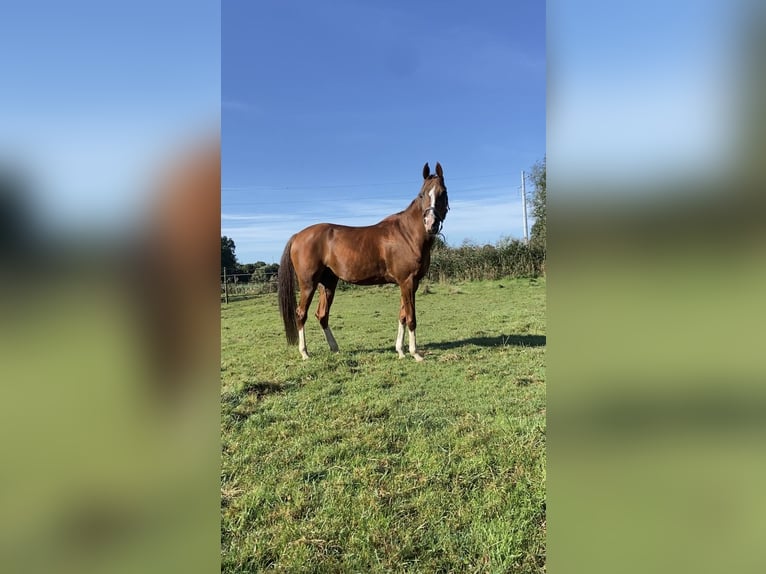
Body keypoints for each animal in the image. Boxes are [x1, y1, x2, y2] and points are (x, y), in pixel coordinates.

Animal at [280, 162, 450, 360]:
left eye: (442, 193)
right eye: (421, 194)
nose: (431, 224)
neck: (407, 234)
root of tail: (298, 235)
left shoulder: (410, 283)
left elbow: (402, 315)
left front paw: (400, 351)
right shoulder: (407, 281)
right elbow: (411, 318)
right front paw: (415, 354)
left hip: (328, 283)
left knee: (322, 315)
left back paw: (335, 348)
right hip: (308, 284)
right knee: (301, 314)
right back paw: (305, 353)